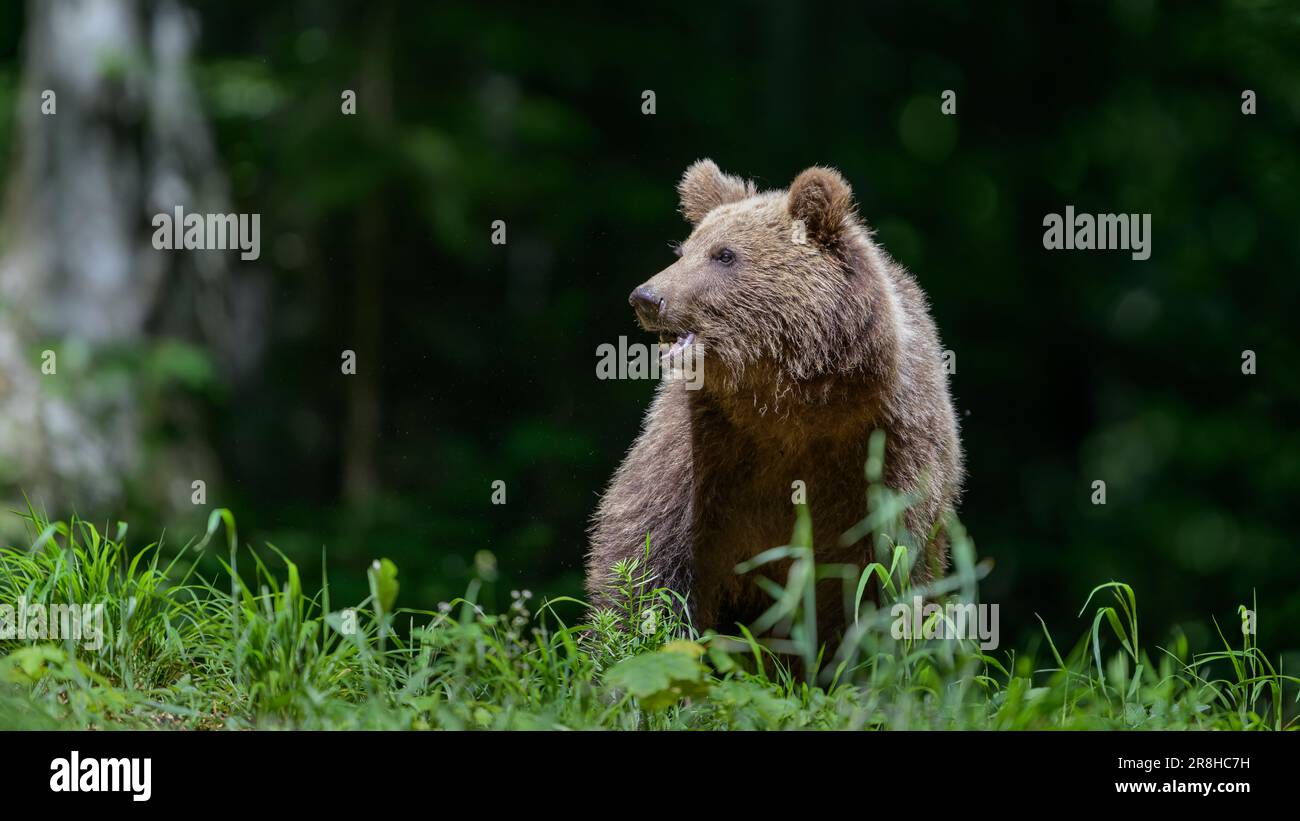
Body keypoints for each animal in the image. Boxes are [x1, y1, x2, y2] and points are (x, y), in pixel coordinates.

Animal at [586, 159, 963, 642]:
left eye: (724, 254)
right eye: (683, 250)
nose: (647, 297)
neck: (790, 402)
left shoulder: (892, 440)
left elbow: (890, 566)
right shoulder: (702, 440)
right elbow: (646, 545)